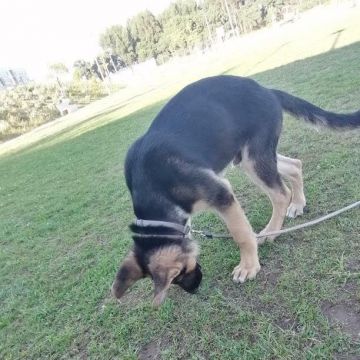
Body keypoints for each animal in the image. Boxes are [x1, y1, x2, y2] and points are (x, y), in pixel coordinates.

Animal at [112, 74, 360, 306]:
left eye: (177, 275)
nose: (194, 290)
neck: (154, 193)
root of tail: (266, 90)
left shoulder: (221, 194)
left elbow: (241, 234)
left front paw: (248, 266)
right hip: (253, 156)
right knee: (295, 166)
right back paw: (298, 204)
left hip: (254, 159)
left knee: (281, 194)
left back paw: (272, 230)